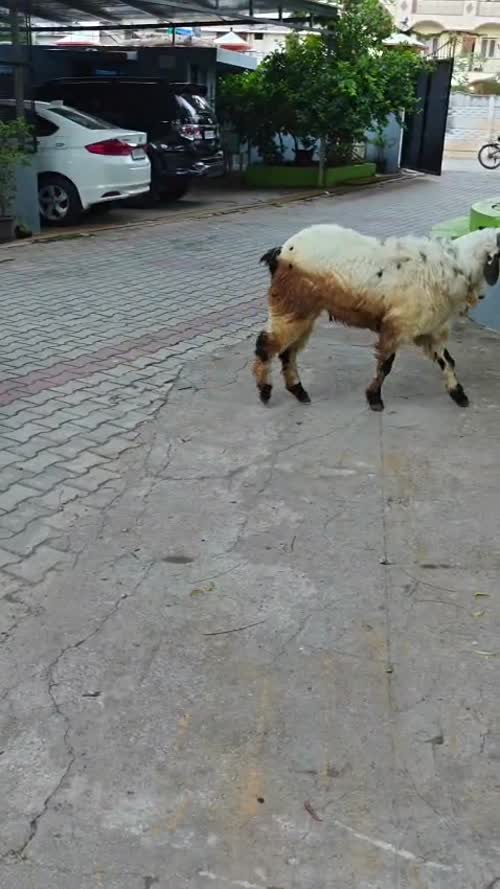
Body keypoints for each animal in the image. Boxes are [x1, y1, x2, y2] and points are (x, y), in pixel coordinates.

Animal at [253, 224, 500, 411]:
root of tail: (281, 250)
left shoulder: (432, 328)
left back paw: (299, 391)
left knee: (287, 351)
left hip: (303, 311)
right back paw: (265, 391)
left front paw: (459, 395)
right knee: (267, 345)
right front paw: (374, 399)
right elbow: (386, 364)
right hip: (291, 306)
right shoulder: (397, 325)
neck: (457, 264)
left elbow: (447, 360)